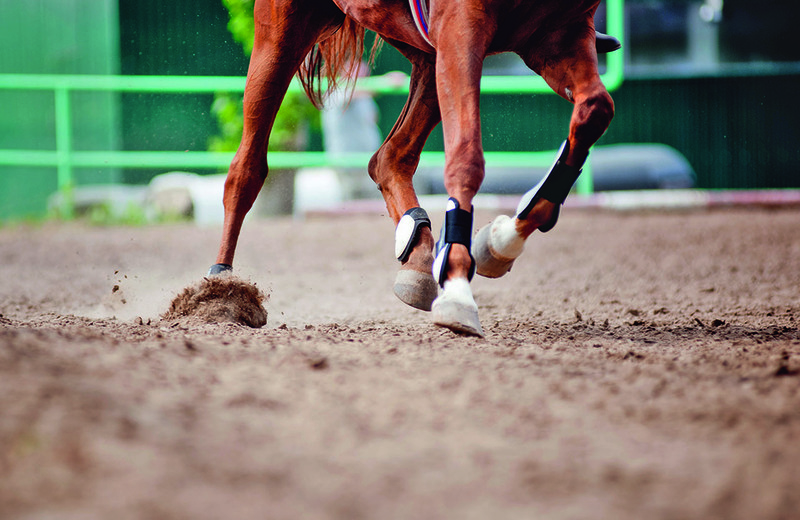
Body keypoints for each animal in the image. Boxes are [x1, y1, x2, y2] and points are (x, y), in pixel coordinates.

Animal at [208, 0, 618, 337]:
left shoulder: (559, 34)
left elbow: (595, 110)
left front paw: (499, 242)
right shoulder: (462, 27)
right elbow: (466, 157)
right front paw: (458, 290)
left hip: (424, 49)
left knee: (388, 159)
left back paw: (419, 258)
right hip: (283, 33)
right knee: (247, 168)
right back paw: (219, 290)